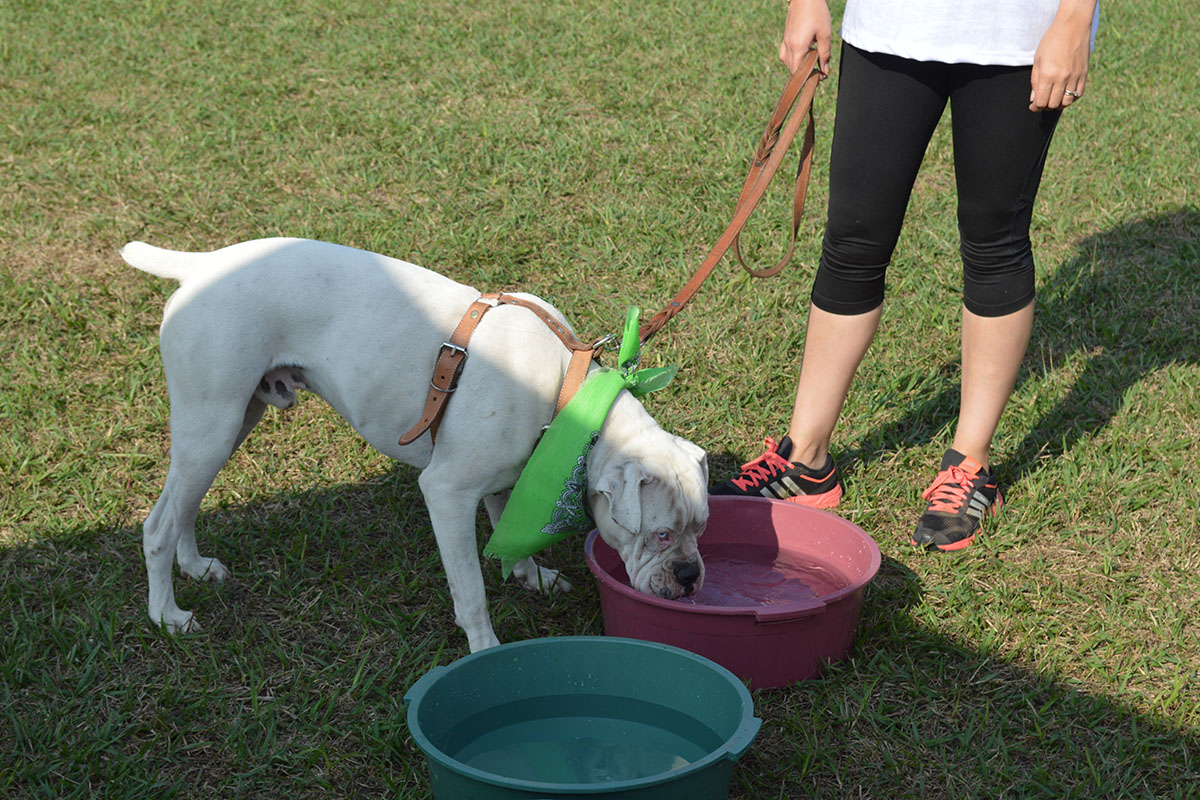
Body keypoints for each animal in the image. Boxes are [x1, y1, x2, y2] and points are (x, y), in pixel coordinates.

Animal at [124, 236, 700, 652]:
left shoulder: (506, 477)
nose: (692, 575)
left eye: (701, 529)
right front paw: (485, 649)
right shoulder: (446, 494)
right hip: (212, 425)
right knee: (157, 525)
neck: (569, 398)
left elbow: (505, 528)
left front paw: (530, 575)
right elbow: (471, 592)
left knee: (182, 504)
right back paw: (167, 615)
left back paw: (196, 567)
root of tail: (203, 265)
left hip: (229, 423)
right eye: (662, 535)